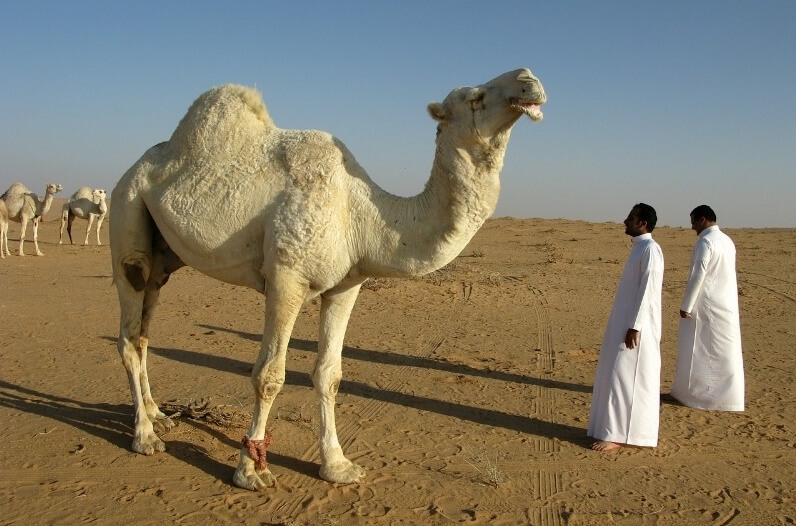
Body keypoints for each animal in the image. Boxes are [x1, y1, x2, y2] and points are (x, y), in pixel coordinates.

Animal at [110, 68, 546, 491]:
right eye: (475, 97)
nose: (529, 80)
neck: (362, 215)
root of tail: (132, 169)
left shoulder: (346, 286)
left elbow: (329, 375)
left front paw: (337, 465)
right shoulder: (286, 279)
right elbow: (269, 376)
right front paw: (251, 471)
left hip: (163, 257)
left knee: (145, 330)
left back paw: (157, 413)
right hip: (127, 212)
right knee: (129, 332)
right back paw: (146, 436)